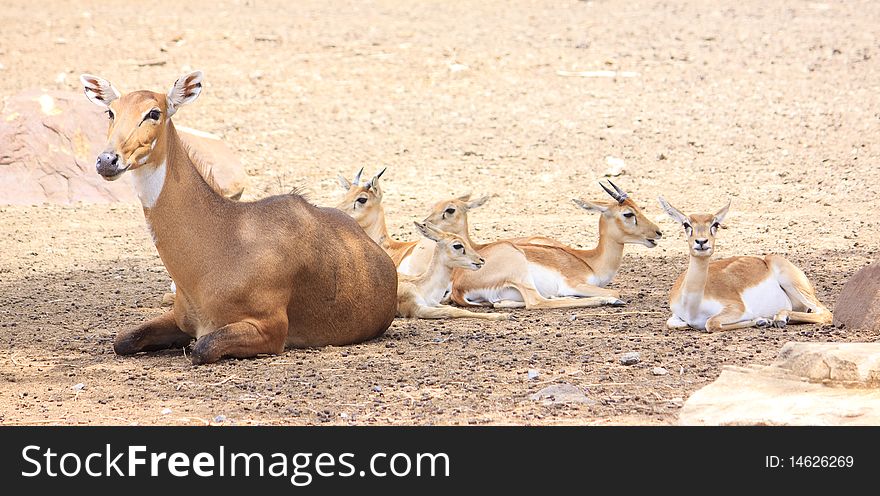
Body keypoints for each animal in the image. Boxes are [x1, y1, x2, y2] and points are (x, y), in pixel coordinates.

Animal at [81, 70, 398, 364]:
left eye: (153, 113)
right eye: (111, 111)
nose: (107, 160)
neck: (223, 240)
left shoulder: (270, 328)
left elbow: (202, 347)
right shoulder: (181, 318)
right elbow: (123, 339)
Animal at [446, 180, 660, 308]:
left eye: (638, 207)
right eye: (628, 214)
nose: (658, 232)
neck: (590, 262)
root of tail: (459, 284)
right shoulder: (574, 284)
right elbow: (615, 289)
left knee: (503, 303)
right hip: (519, 268)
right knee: (536, 302)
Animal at [656, 196, 836, 332]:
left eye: (715, 224)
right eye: (686, 224)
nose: (701, 242)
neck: (692, 305)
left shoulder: (737, 308)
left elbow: (711, 323)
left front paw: (762, 320)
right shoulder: (676, 316)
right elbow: (674, 323)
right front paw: (762, 321)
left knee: (826, 313)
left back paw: (780, 317)